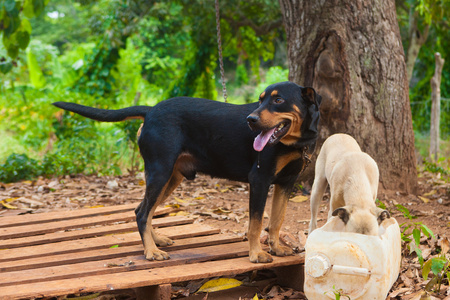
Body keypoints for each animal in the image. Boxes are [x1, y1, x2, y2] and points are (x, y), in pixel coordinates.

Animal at [53, 81, 320, 262]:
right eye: (261, 99)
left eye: (278, 100)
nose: (250, 119)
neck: (292, 143)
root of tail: (151, 110)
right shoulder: (259, 180)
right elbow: (255, 223)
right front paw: (256, 254)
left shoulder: (286, 183)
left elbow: (276, 220)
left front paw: (276, 248)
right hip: (160, 172)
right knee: (142, 212)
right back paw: (151, 251)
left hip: (171, 177)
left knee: (143, 210)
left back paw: (156, 241)